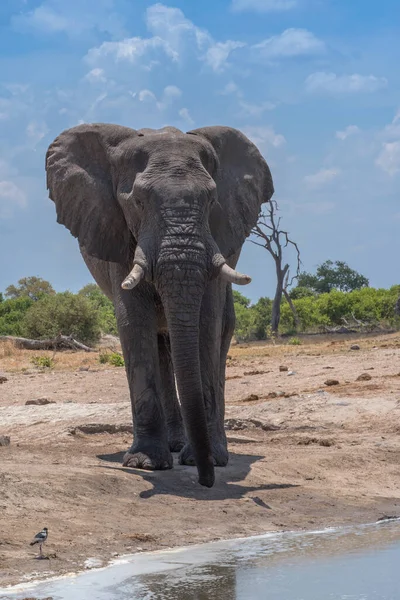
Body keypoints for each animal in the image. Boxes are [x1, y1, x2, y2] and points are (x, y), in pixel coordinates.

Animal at [45, 123, 274, 488]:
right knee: (160, 340)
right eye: (138, 201)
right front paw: (145, 463)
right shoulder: (118, 232)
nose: (206, 481)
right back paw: (175, 446)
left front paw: (209, 459)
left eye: (212, 201)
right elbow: (133, 322)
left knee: (220, 331)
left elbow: (207, 322)